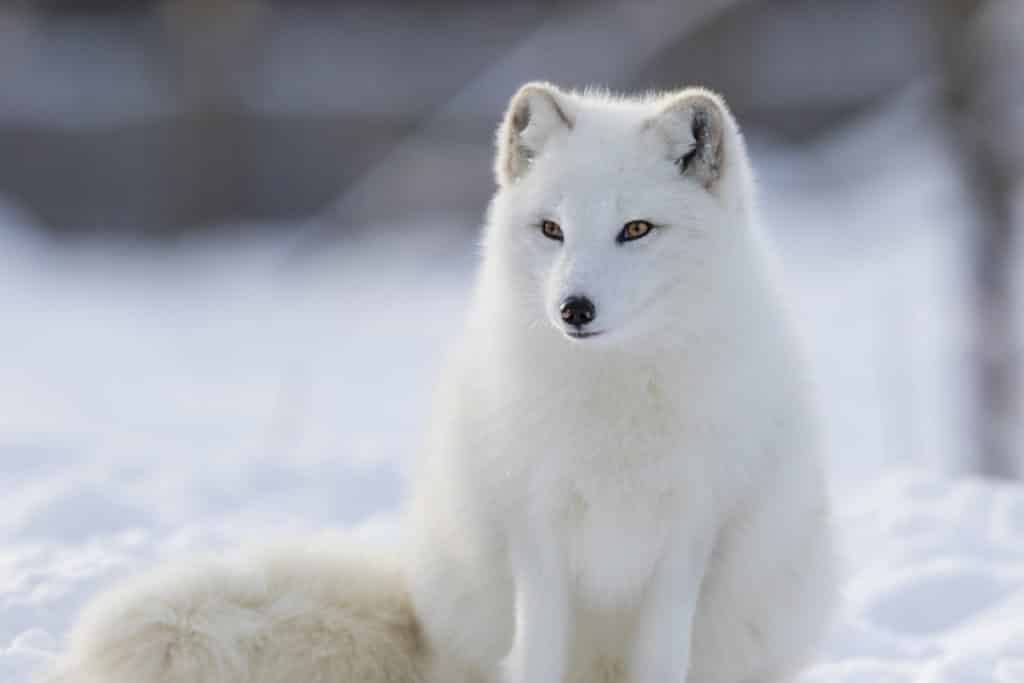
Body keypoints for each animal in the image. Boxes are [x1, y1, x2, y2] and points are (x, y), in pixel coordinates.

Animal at [44, 83, 835, 683]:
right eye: (551, 229)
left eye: (637, 229)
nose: (573, 309)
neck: (611, 408)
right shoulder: (534, 533)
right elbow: (537, 657)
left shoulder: (688, 536)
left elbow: (664, 659)